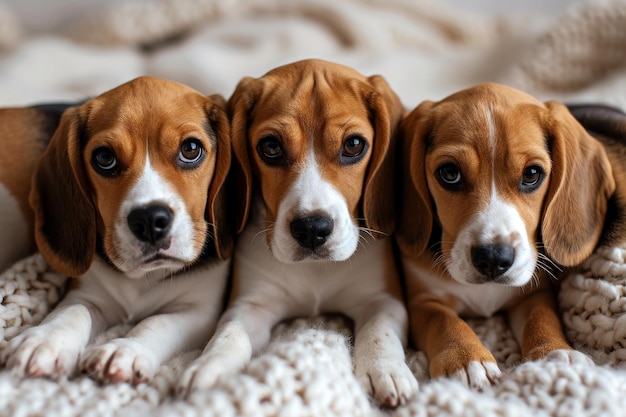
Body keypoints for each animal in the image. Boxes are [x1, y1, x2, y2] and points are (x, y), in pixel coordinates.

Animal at [178, 58, 416, 406]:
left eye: (353, 145)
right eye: (271, 147)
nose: (312, 229)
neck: (315, 271)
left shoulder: (384, 300)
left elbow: (378, 330)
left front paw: (385, 369)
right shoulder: (250, 305)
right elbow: (229, 333)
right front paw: (209, 365)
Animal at [394, 83, 608, 388]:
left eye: (531, 174)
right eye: (449, 173)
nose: (494, 259)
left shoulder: (533, 292)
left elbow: (542, 318)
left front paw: (556, 353)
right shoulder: (423, 303)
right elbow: (445, 322)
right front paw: (467, 359)